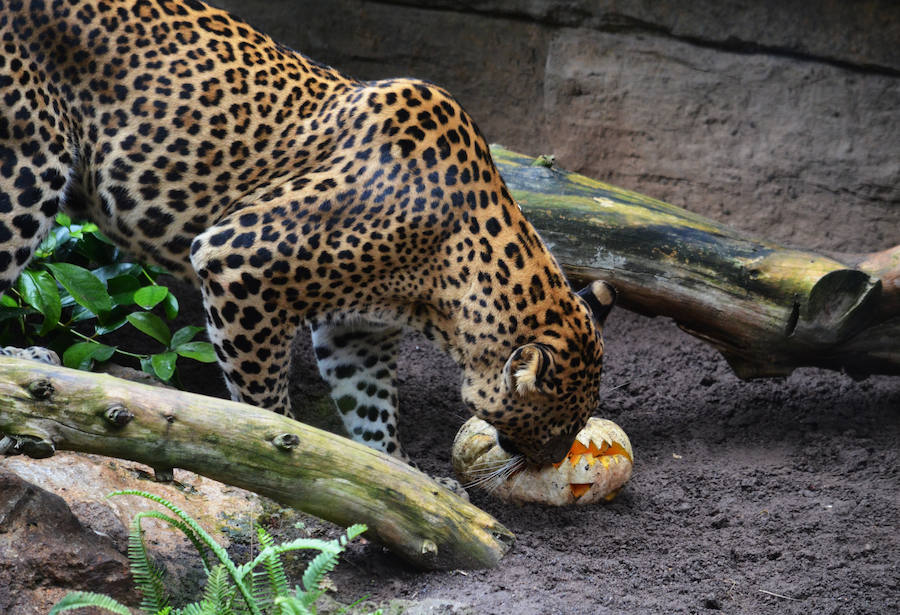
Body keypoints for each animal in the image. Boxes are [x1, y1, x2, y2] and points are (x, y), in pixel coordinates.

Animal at [0, 0, 616, 466]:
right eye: (558, 423)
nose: (552, 461)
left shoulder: (359, 331)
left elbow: (372, 409)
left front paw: (398, 475)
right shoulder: (236, 264)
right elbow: (262, 394)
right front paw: (277, 455)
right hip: (26, 168)